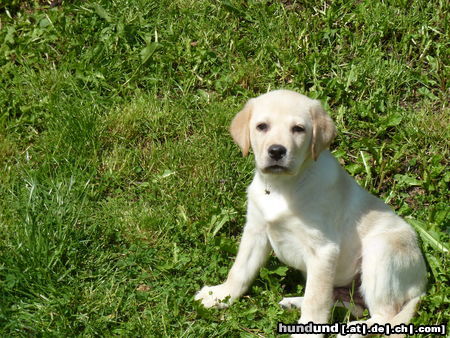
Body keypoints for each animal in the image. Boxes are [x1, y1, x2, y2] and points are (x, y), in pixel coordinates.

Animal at [195, 90, 428, 338]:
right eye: (261, 126)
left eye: (298, 129)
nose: (276, 151)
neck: (282, 186)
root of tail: (421, 288)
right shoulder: (255, 230)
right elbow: (240, 270)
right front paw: (220, 295)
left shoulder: (323, 250)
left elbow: (316, 300)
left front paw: (308, 330)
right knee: (349, 304)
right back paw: (295, 303)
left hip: (381, 253)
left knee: (385, 314)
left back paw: (352, 329)